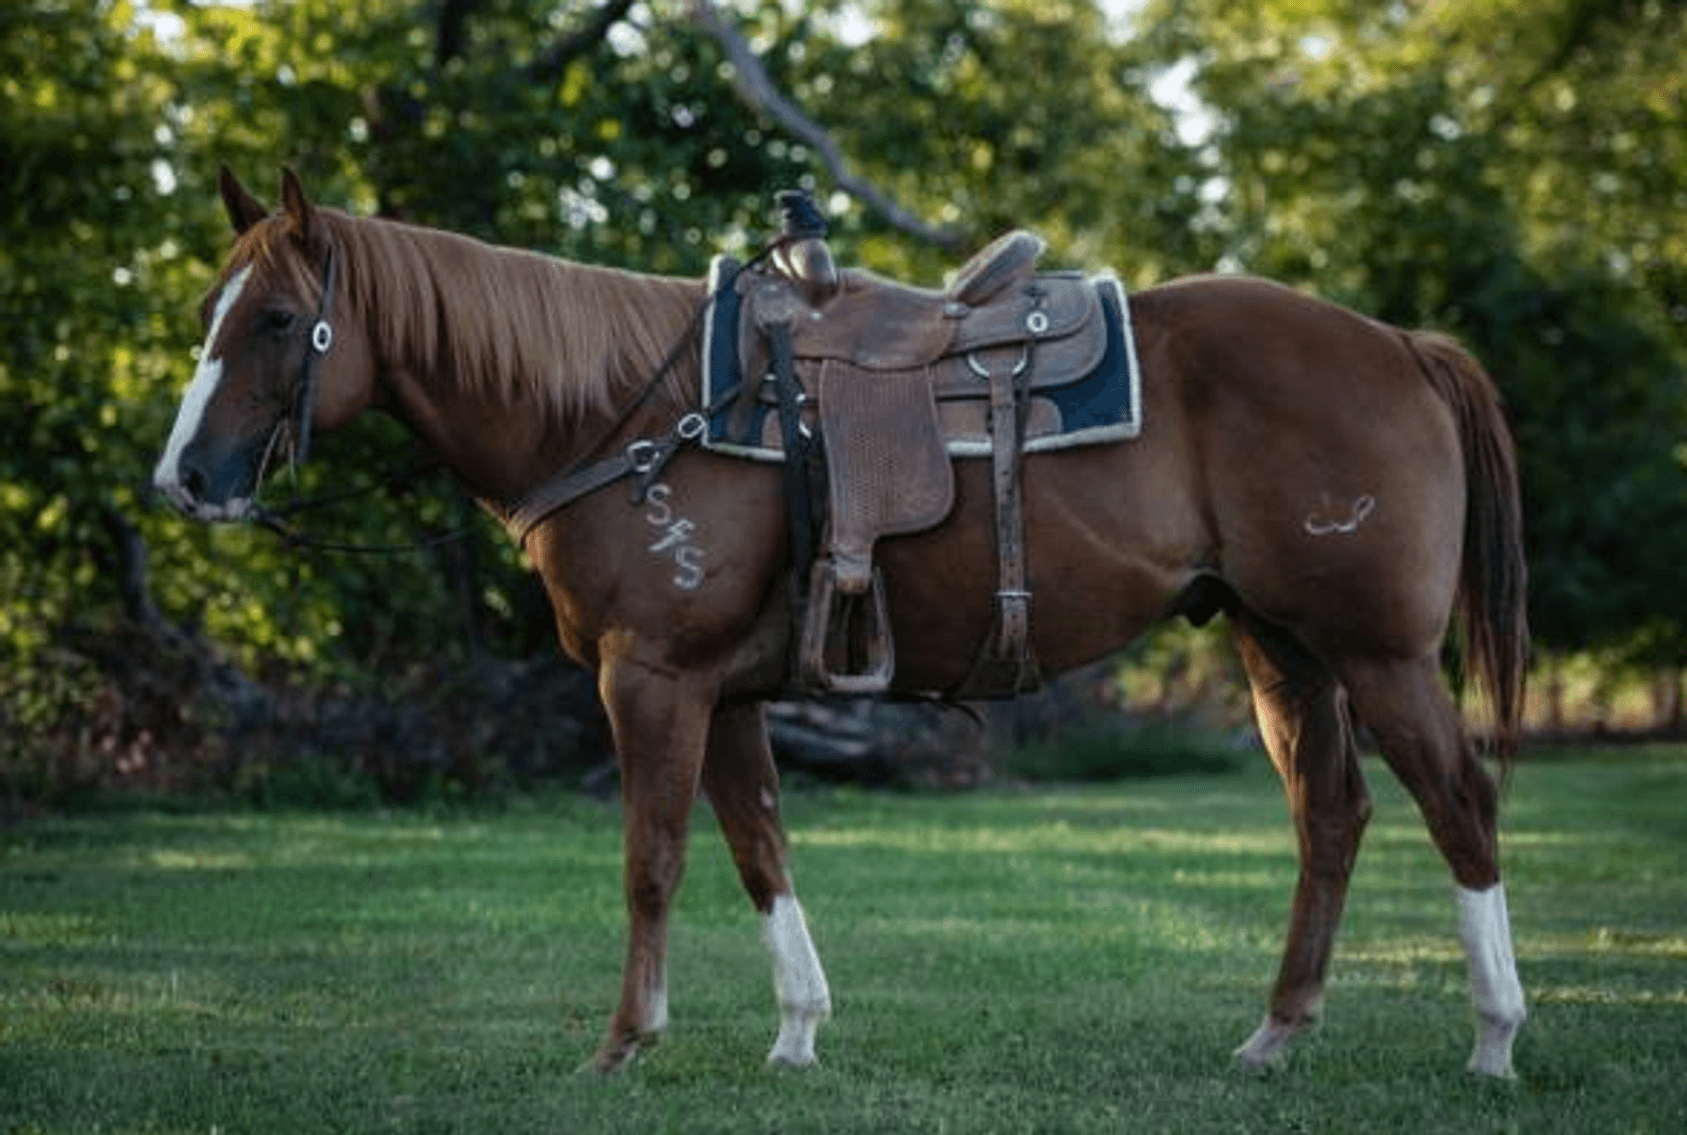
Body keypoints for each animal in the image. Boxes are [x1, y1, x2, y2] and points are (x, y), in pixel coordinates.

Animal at [154, 168, 1529, 1077]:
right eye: (209, 312)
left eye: (273, 320)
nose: (186, 479)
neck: (625, 413)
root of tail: (1400, 345)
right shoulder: (723, 692)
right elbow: (759, 846)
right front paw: (798, 1031)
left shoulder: (651, 679)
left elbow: (652, 857)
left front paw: (623, 1043)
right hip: (1280, 645)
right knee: (1331, 817)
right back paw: (1274, 1034)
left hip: (1377, 651)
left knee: (1459, 802)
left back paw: (1494, 1037)